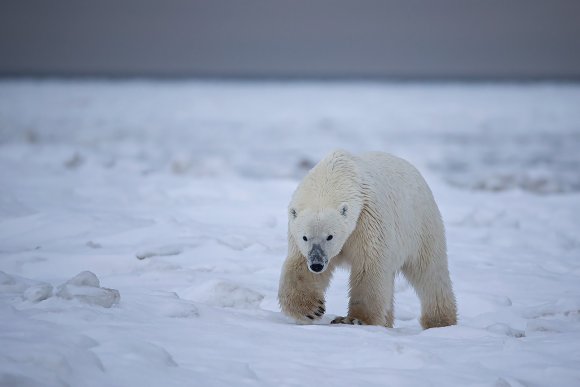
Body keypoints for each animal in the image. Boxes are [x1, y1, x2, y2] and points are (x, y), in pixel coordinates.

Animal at [278, 150, 458, 328]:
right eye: (305, 237)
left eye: (330, 236)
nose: (317, 264)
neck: (335, 175)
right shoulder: (297, 235)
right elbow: (299, 265)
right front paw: (311, 309)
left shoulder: (368, 220)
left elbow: (369, 267)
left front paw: (355, 319)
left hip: (421, 226)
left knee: (430, 273)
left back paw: (440, 321)